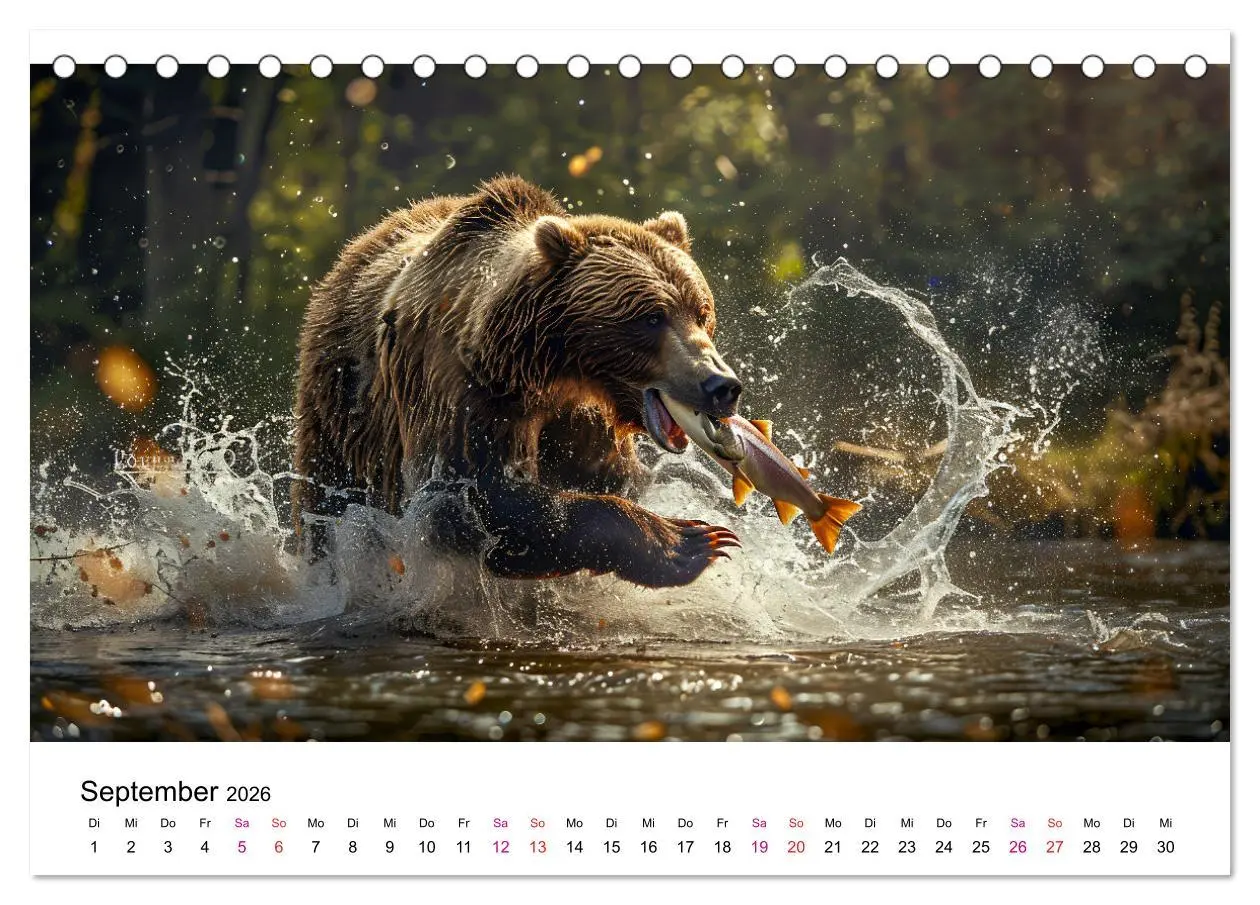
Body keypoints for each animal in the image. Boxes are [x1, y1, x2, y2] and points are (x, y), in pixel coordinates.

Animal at [293, 175, 744, 587]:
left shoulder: (582, 417)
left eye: (701, 311)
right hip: (341, 410)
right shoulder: (462, 391)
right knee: (330, 501)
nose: (720, 384)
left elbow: (615, 474)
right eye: (651, 317)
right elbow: (471, 501)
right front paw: (689, 540)